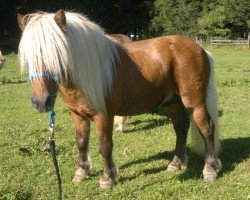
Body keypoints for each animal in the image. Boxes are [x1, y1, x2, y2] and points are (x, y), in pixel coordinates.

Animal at [17, 9, 221, 188]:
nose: (41, 102)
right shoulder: (77, 114)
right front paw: (81, 172)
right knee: (181, 128)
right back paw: (175, 164)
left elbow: (105, 146)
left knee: (207, 128)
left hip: (194, 102)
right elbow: (81, 142)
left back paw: (210, 170)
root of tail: (200, 49)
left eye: (56, 53)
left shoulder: (104, 116)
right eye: (30, 56)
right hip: (173, 102)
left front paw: (107, 179)